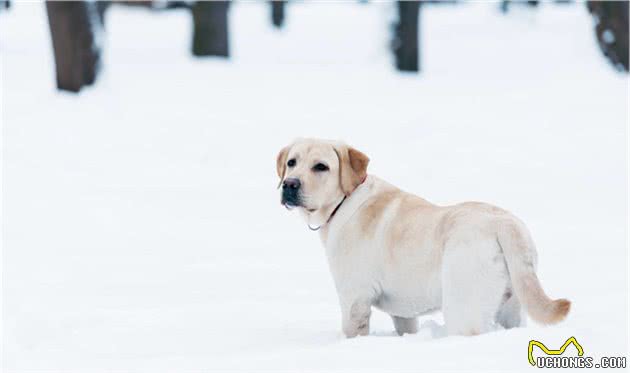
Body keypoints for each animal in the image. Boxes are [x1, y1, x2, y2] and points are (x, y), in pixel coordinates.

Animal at [278, 138, 572, 336]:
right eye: (292, 162)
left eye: (321, 167)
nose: (289, 185)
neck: (344, 201)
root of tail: (504, 223)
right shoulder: (403, 311)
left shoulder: (354, 298)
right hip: (513, 306)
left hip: (462, 308)